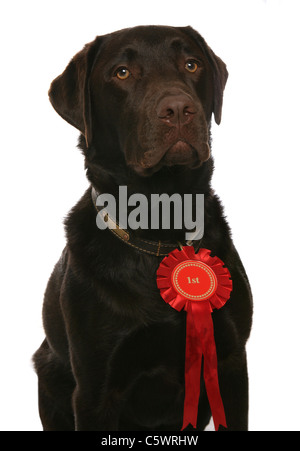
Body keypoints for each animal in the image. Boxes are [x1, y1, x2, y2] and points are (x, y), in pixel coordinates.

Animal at [33, 23, 253, 430]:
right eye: (122, 73)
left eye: (191, 64)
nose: (179, 109)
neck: (160, 225)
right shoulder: (95, 389)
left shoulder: (231, 364)